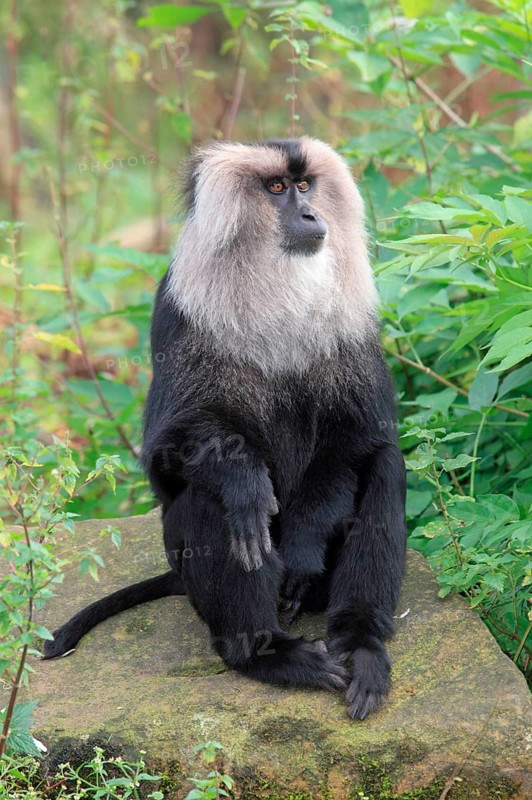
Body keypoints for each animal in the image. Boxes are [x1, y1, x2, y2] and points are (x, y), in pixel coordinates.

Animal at [44, 137, 407, 720]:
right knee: (216, 500)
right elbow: (173, 453)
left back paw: (360, 646)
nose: (311, 214)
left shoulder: (355, 327)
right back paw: (266, 653)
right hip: (184, 559)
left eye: (305, 186)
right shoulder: (178, 312)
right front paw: (242, 482)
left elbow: (359, 437)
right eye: (277, 188)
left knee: (385, 465)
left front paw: (303, 547)